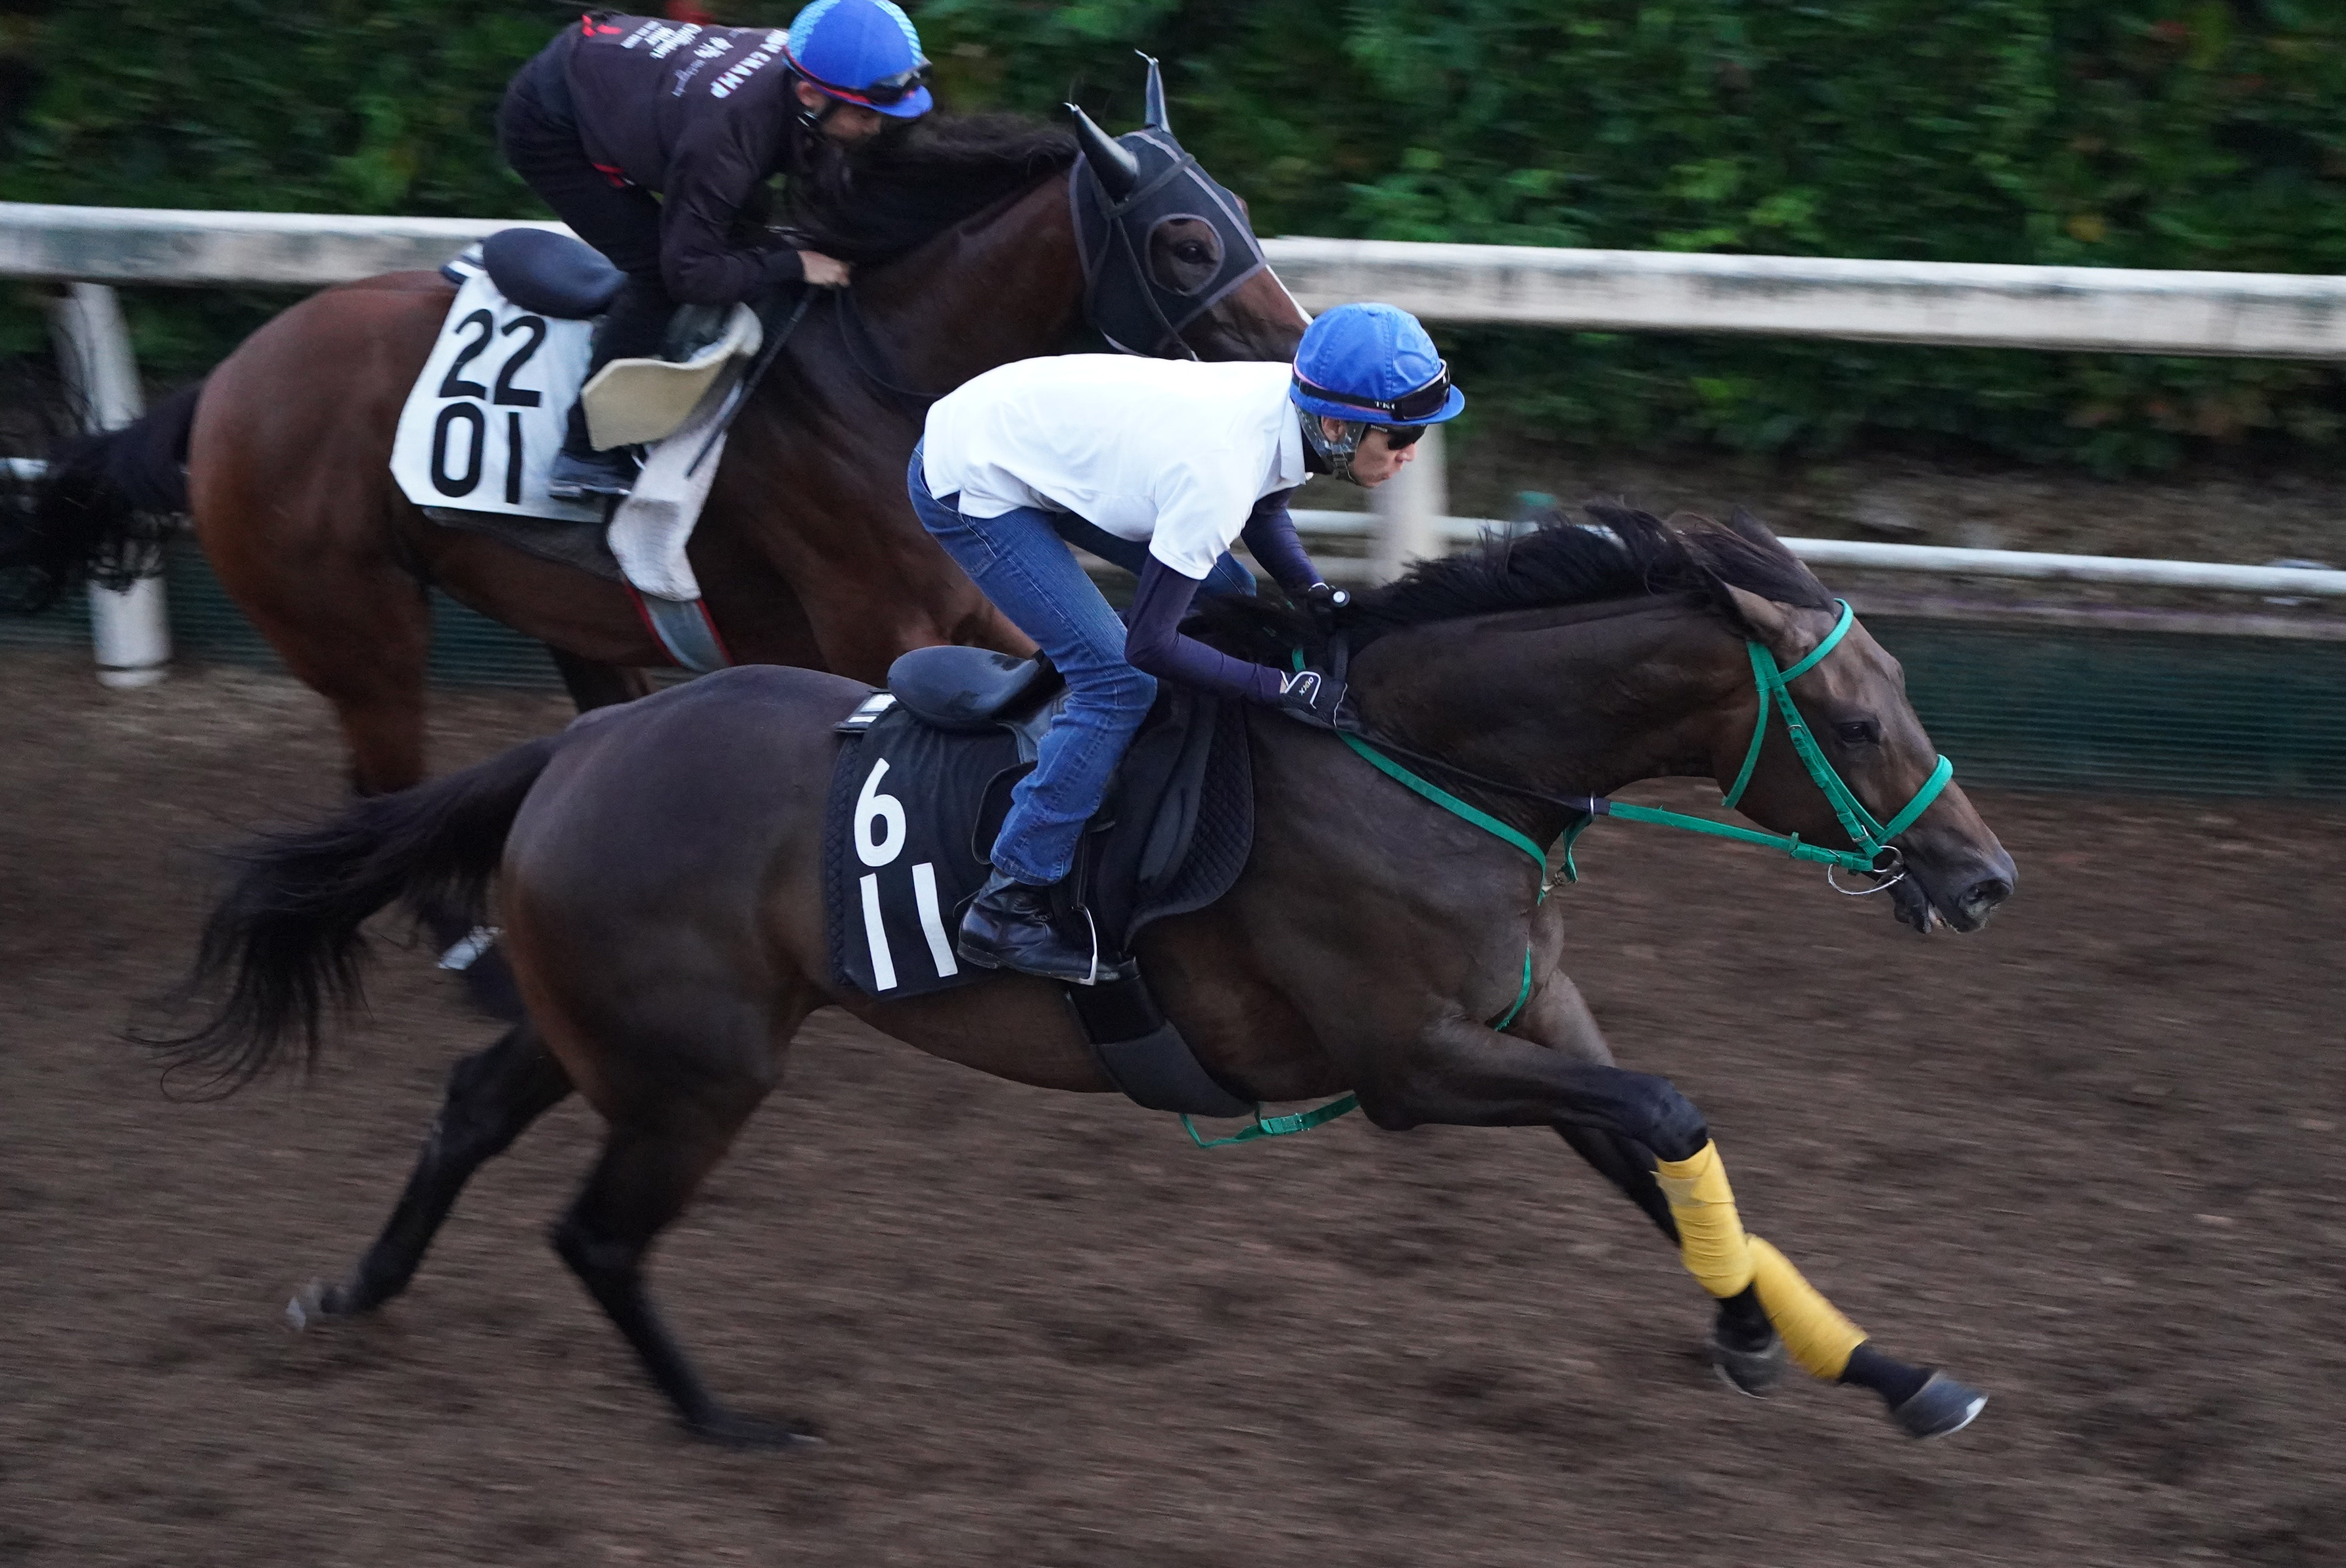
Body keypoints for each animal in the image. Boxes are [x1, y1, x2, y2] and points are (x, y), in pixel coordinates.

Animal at [0, 108, 1304, 798]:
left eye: (1243, 209)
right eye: (1186, 242)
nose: (1301, 348)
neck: (890, 375)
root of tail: (223, 386)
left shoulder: (975, 600)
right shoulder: (880, 619)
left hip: (549, 610)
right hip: (356, 635)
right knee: (383, 776)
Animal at [173, 509, 2027, 1455]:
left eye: (1898, 686)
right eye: (1854, 717)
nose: (1983, 877)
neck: (1421, 761)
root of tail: (576, 742)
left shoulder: (1526, 1020)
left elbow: (1669, 1149)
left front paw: (1859, 1361)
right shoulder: (1413, 1064)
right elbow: (1665, 1109)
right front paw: (1761, 1344)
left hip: (611, 1028)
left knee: (471, 1108)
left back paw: (355, 1292)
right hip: (697, 1067)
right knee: (598, 1231)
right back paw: (729, 1421)